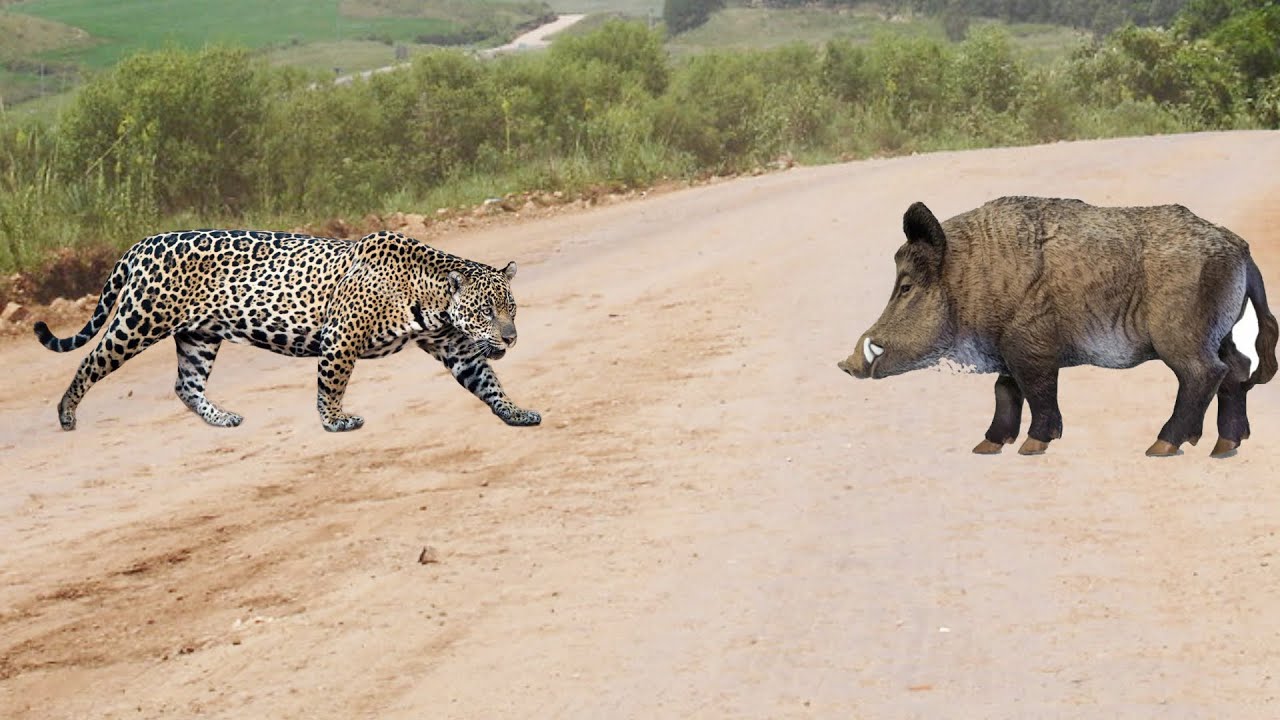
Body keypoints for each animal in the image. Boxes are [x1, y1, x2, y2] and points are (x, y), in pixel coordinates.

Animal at [32, 229, 542, 432]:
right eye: (486, 311)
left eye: (512, 309)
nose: (511, 337)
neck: (430, 299)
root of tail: (142, 242)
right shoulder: (341, 338)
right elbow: (332, 385)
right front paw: (335, 422)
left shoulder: (457, 350)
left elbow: (489, 383)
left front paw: (517, 413)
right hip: (139, 320)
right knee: (90, 360)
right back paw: (66, 415)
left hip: (199, 336)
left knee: (186, 384)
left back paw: (222, 419)